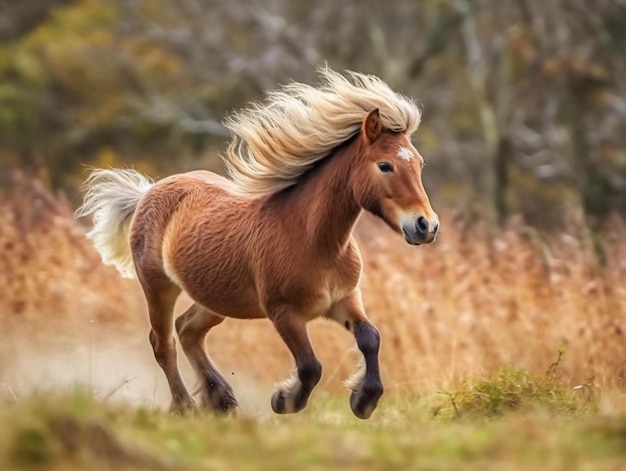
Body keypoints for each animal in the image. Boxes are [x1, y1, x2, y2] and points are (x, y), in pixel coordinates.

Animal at [75, 67, 436, 420]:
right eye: (385, 165)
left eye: (419, 163)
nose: (427, 226)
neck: (313, 240)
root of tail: (148, 192)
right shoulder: (284, 313)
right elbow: (310, 366)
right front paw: (284, 399)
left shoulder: (344, 300)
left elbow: (370, 337)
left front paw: (364, 399)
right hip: (158, 287)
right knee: (163, 342)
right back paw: (186, 406)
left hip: (214, 299)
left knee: (188, 329)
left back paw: (221, 400)